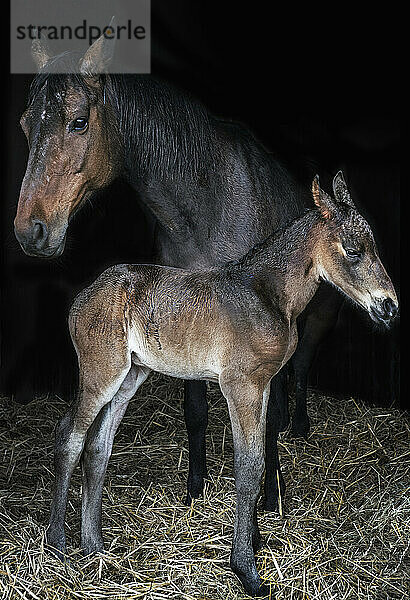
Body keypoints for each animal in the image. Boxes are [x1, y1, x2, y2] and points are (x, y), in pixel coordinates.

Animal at [15, 32, 342, 510]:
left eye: (78, 121)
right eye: (25, 125)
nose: (30, 231)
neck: (206, 204)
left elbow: (268, 409)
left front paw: (271, 494)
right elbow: (195, 410)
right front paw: (195, 488)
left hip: (318, 319)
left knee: (300, 369)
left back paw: (296, 424)